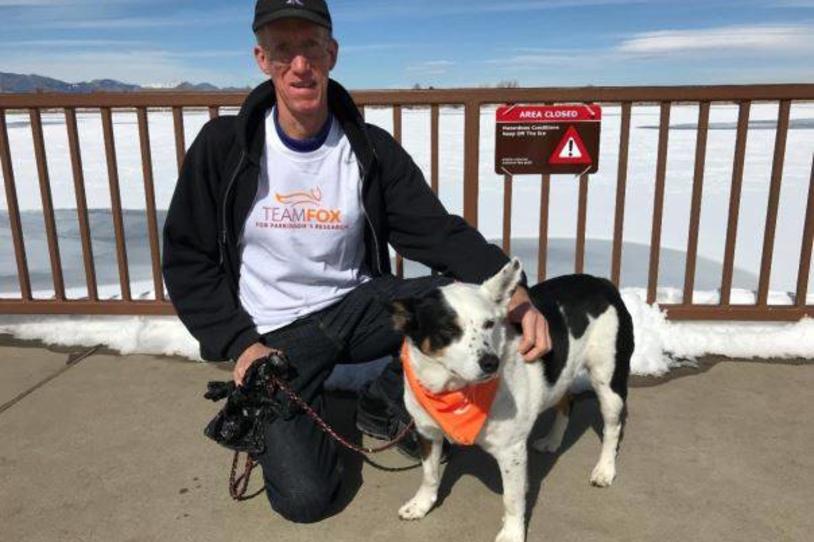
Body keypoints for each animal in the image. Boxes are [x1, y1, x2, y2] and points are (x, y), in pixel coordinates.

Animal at [392, 260, 636, 542]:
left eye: (489, 324)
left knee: (612, 428)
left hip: (608, 383)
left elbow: (512, 499)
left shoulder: (511, 451)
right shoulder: (427, 432)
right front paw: (422, 504)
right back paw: (553, 441)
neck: (455, 391)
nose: (491, 362)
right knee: (566, 402)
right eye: (448, 329)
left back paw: (605, 469)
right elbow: (429, 474)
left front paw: (511, 533)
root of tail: (602, 282)